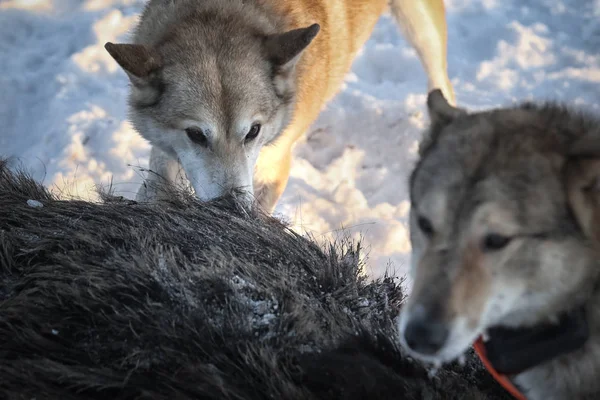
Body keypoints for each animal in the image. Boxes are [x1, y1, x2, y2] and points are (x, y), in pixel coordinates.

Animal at [106, 0, 454, 212]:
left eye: (253, 131)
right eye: (195, 134)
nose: (230, 208)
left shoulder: (273, 162)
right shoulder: (163, 151)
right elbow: (153, 188)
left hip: (421, 29)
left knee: (441, 82)